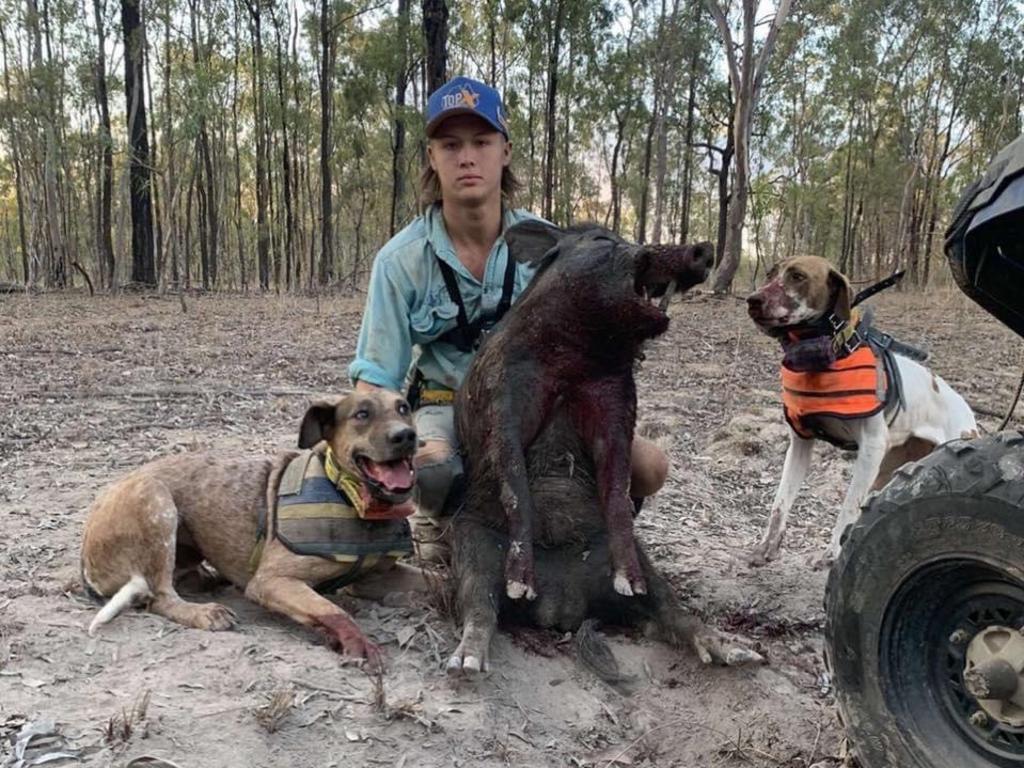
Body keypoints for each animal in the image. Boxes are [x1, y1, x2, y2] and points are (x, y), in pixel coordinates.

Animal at [78, 391, 423, 667]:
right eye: (362, 414)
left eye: (404, 407)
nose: (406, 436)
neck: (349, 496)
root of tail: (86, 561)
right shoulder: (271, 582)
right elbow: (331, 609)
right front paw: (356, 640)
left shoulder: (379, 577)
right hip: (157, 501)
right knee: (160, 596)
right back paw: (203, 612)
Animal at [448, 221, 761, 671]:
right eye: (601, 241)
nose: (702, 248)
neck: (573, 362)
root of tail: (564, 608)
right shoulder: (499, 393)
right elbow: (513, 480)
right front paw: (520, 585)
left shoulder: (618, 403)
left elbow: (615, 485)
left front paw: (628, 580)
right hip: (470, 544)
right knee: (480, 608)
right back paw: (466, 661)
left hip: (647, 569)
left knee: (672, 612)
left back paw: (739, 650)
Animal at [745, 259, 974, 565]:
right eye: (770, 274)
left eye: (798, 276)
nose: (753, 300)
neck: (823, 357)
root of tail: (969, 414)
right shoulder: (800, 445)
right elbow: (780, 501)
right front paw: (767, 546)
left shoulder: (871, 447)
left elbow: (848, 507)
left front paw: (831, 554)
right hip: (887, 472)